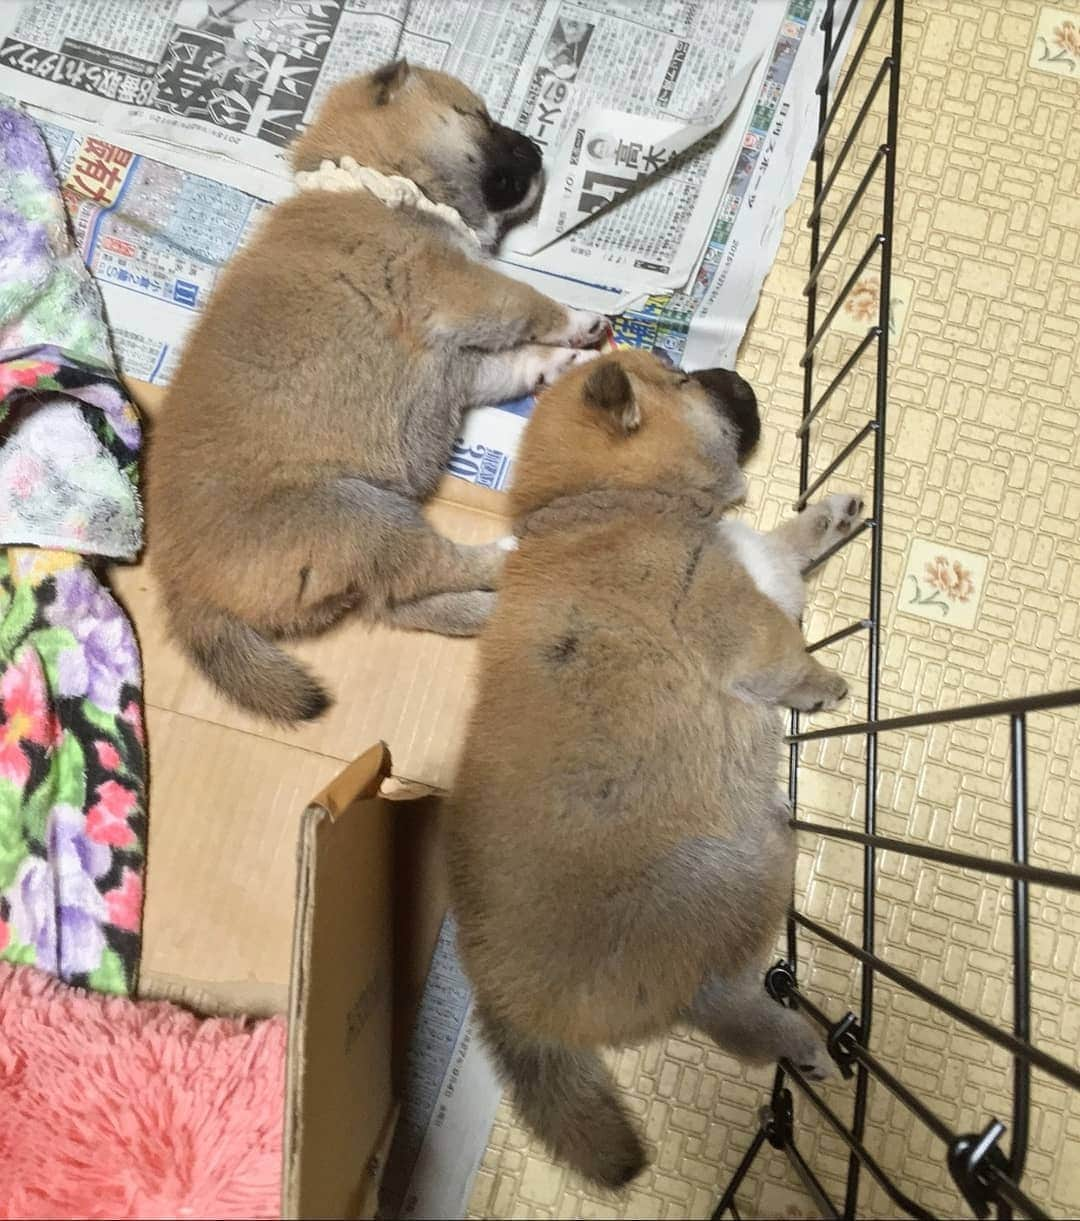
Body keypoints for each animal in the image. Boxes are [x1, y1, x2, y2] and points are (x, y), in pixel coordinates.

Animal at [147, 57, 607, 717]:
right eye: (477, 116)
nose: (540, 146)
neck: (380, 181)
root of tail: (183, 589)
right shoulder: (462, 292)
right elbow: (531, 304)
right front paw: (579, 321)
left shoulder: (462, 366)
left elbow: (519, 362)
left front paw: (564, 362)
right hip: (366, 515)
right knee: (440, 567)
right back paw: (509, 556)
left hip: (369, 544)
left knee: (411, 598)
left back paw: (495, 608)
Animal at [444, 351, 859, 1191]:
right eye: (683, 379)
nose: (727, 369)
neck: (608, 501)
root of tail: (494, 989)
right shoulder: (737, 619)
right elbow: (788, 657)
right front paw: (825, 684)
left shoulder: (760, 564)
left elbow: (786, 540)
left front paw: (826, 516)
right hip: (743, 867)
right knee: (730, 1011)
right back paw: (799, 1043)